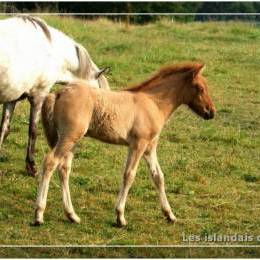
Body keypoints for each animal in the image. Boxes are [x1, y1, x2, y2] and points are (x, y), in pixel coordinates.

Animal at [0, 15, 109, 176]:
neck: (51, 53)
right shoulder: (39, 96)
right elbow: (33, 131)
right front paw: (31, 167)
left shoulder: (12, 97)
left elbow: (4, 129)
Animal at [34, 62, 215, 226]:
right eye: (199, 88)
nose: (211, 112)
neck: (153, 103)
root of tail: (58, 93)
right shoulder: (138, 144)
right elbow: (129, 175)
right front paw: (120, 216)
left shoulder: (149, 147)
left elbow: (158, 176)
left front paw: (169, 214)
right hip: (69, 137)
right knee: (50, 162)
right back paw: (39, 214)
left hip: (69, 140)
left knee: (64, 168)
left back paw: (72, 215)